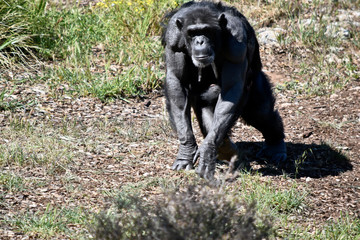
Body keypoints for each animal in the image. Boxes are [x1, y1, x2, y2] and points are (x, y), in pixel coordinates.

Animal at [162, 0, 286, 179]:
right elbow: (176, 80)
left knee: (261, 114)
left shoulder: (237, 43)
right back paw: (227, 150)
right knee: (207, 106)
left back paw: (276, 147)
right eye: (192, 33)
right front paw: (187, 151)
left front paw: (207, 152)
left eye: (206, 31)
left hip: (256, 83)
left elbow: (232, 87)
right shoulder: (173, 40)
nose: (200, 41)